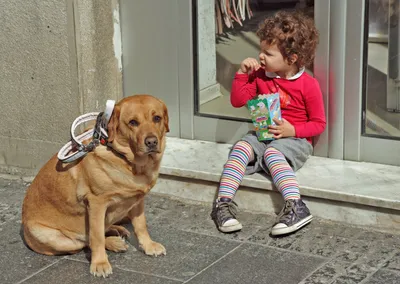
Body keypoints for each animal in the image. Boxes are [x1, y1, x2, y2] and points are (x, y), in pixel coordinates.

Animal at [21, 95, 169, 278]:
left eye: (157, 118)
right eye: (133, 122)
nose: (151, 142)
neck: (129, 162)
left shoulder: (137, 200)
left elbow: (141, 225)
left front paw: (148, 246)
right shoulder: (96, 203)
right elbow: (96, 237)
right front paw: (100, 263)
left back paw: (116, 230)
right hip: (53, 238)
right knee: (85, 242)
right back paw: (113, 242)